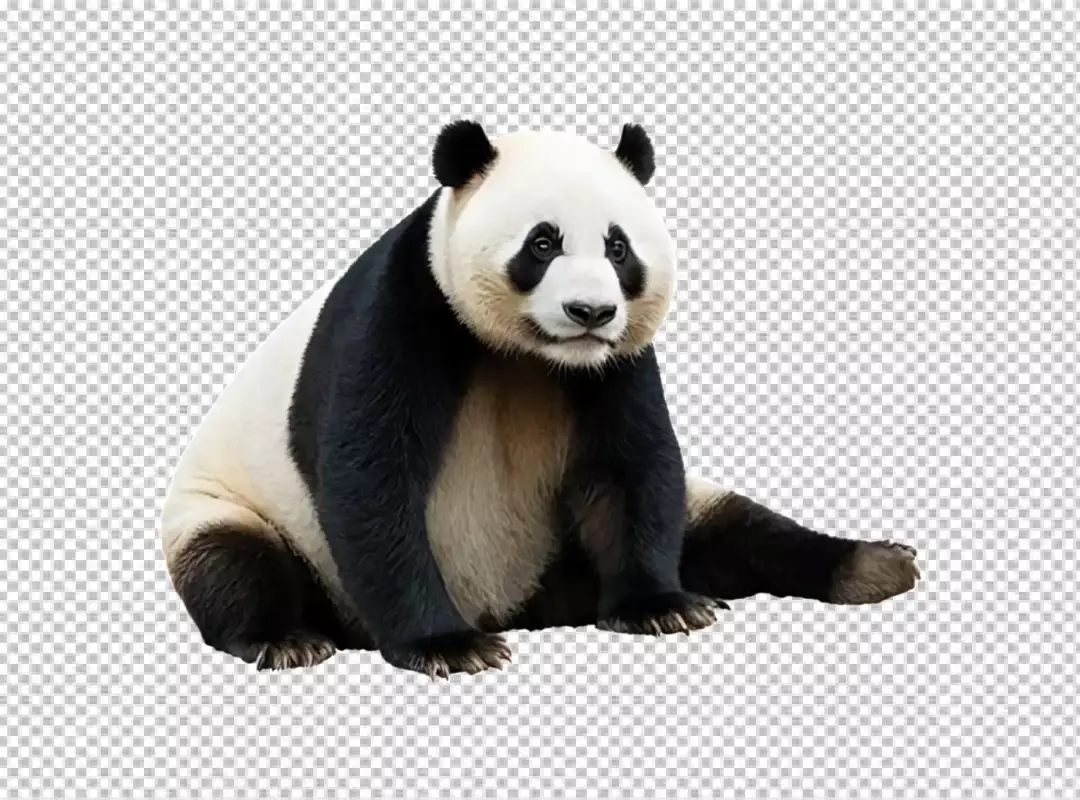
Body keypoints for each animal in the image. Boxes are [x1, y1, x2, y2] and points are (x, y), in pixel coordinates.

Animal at [160, 121, 920, 678]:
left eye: (618, 248)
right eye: (543, 243)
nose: (590, 313)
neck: (530, 357)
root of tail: (520, 605)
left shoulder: (615, 367)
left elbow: (632, 465)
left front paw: (659, 606)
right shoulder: (405, 311)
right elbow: (371, 476)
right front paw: (447, 648)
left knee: (732, 526)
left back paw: (873, 565)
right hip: (231, 507)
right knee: (233, 563)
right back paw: (286, 638)